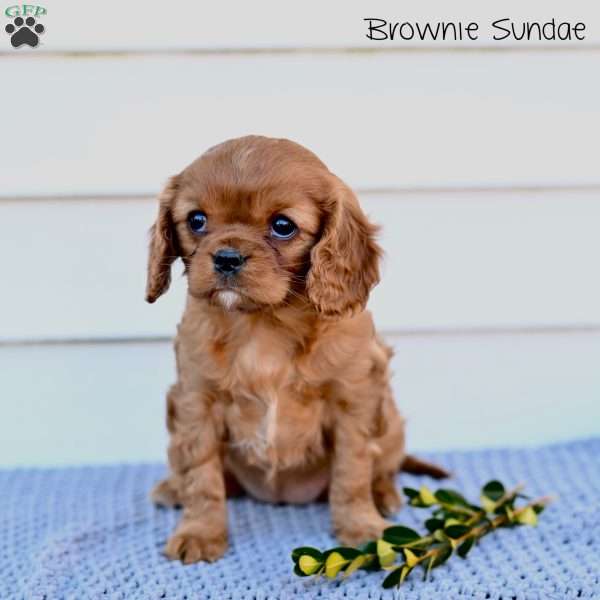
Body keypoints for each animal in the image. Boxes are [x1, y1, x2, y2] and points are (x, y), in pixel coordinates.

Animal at [145, 136, 446, 564]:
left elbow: (352, 472)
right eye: (196, 220)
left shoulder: (354, 399)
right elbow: (202, 475)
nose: (226, 257)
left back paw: (385, 495)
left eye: (283, 226)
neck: (263, 323)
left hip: (391, 423)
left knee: (385, 466)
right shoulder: (195, 400)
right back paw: (172, 488)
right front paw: (200, 532)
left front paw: (361, 528)